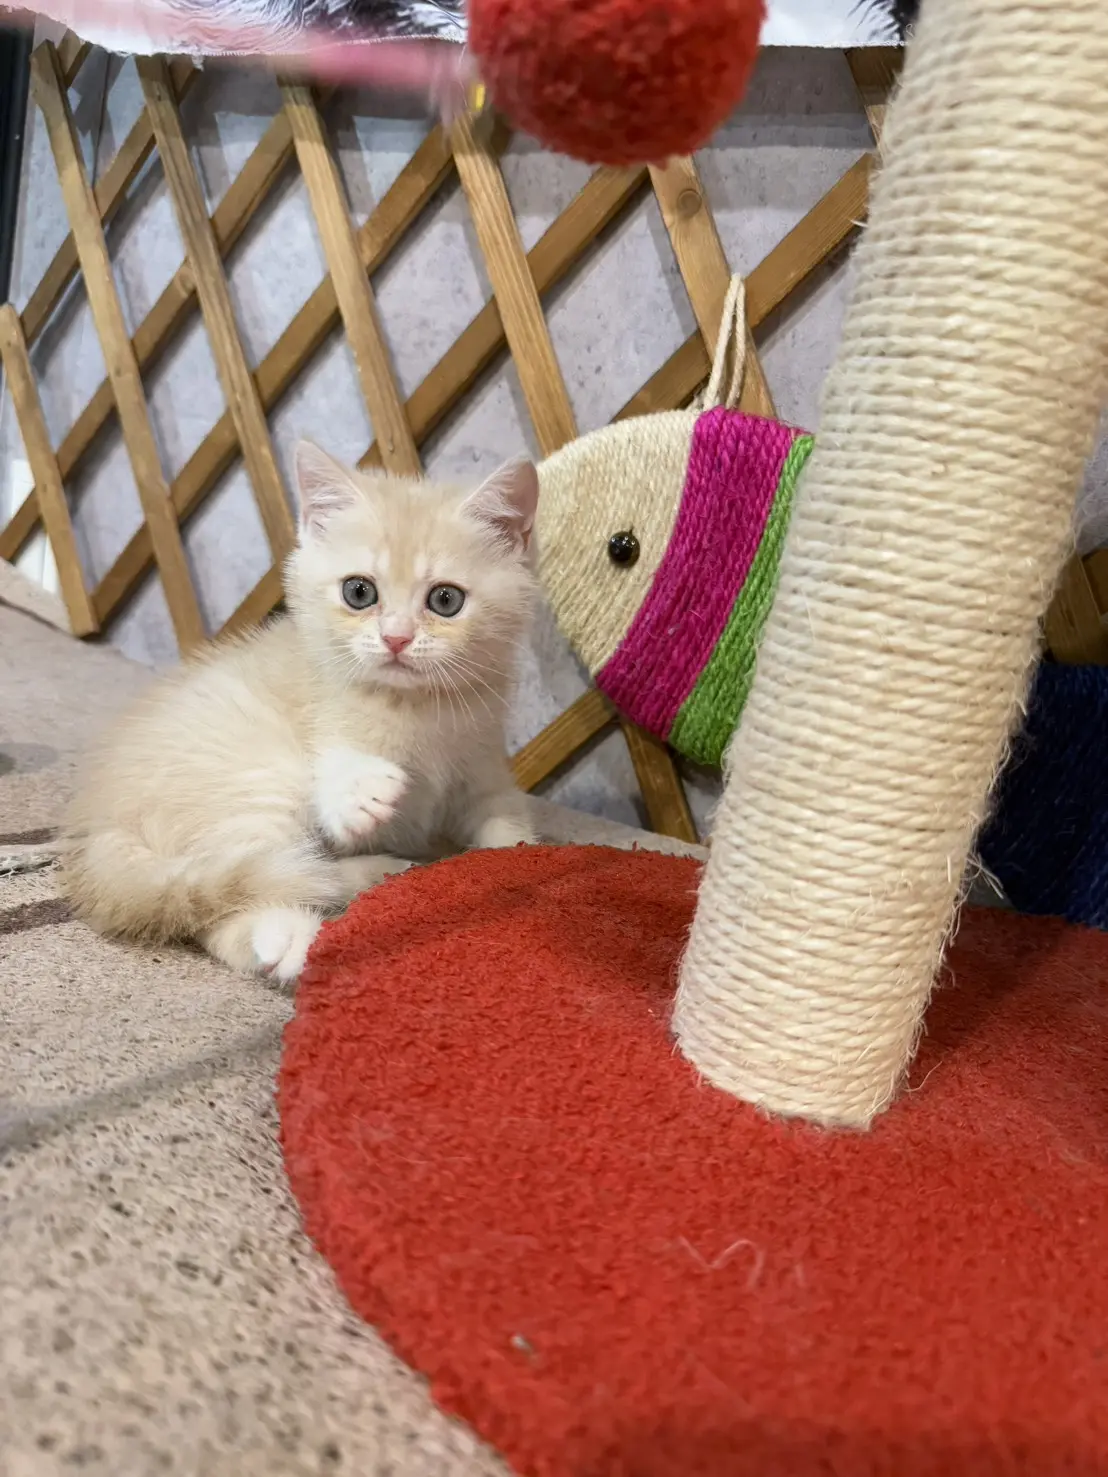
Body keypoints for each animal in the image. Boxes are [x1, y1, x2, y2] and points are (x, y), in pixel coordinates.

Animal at [62, 442, 539, 982]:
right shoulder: (326, 728)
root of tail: (102, 819)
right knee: (244, 886)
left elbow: (504, 821)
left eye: (445, 599)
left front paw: (514, 857)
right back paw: (313, 914)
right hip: (260, 781)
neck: (415, 707)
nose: (396, 638)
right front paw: (358, 792)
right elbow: (338, 781)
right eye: (359, 592)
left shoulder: (483, 766)